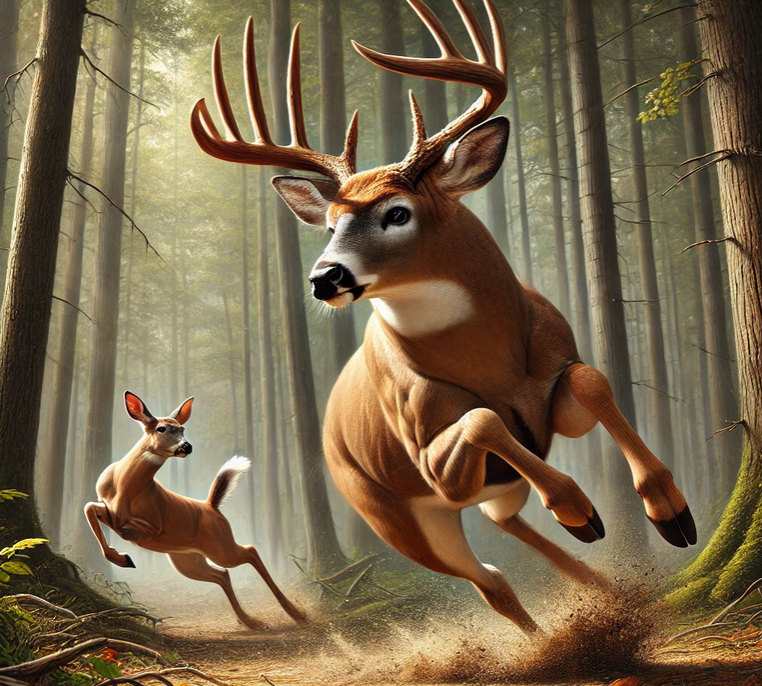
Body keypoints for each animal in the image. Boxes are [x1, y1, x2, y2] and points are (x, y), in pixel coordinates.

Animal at [83, 392, 307, 630]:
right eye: (161, 428)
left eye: (182, 428)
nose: (186, 446)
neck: (124, 488)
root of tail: (211, 506)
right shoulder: (107, 505)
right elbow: (90, 508)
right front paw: (122, 558)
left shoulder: (155, 526)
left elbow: (121, 526)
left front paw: (124, 555)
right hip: (188, 561)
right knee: (222, 574)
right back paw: (250, 621)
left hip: (220, 546)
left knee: (249, 551)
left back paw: (296, 614)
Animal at [190, 0, 696, 634]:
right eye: (330, 223)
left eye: (396, 212)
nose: (324, 278)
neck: (491, 364)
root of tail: (328, 436)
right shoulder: (434, 463)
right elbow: (482, 419)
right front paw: (578, 504)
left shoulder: (551, 396)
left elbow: (590, 378)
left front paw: (670, 511)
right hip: (397, 517)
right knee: (490, 580)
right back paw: (572, 580)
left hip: (485, 497)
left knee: (504, 529)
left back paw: (602, 579)